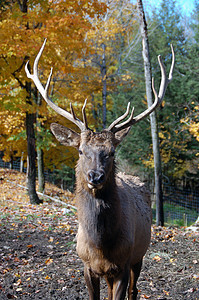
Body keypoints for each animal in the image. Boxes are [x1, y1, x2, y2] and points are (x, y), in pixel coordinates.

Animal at [24, 39, 174, 300]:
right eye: (80, 150)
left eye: (111, 152)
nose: (95, 176)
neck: (101, 247)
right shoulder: (87, 266)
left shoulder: (123, 264)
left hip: (140, 255)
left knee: (135, 290)